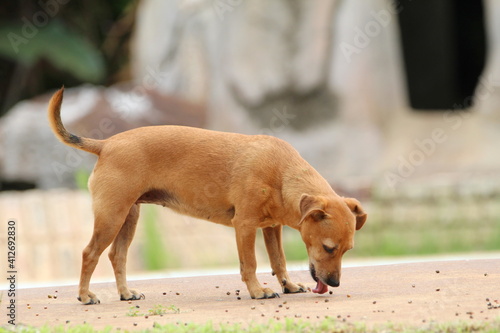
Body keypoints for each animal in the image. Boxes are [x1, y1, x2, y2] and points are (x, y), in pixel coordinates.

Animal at [47, 87, 368, 302]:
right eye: (329, 248)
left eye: (348, 250)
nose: (334, 284)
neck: (282, 173)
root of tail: (106, 144)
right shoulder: (245, 226)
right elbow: (250, 264)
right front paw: (257, 291)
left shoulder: (271, 228)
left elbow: (279, 261)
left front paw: (287, 285)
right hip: (111, 217)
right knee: (90, 253)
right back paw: (85, 295)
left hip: (128, 217)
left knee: (117, 255)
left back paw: (126, 293)